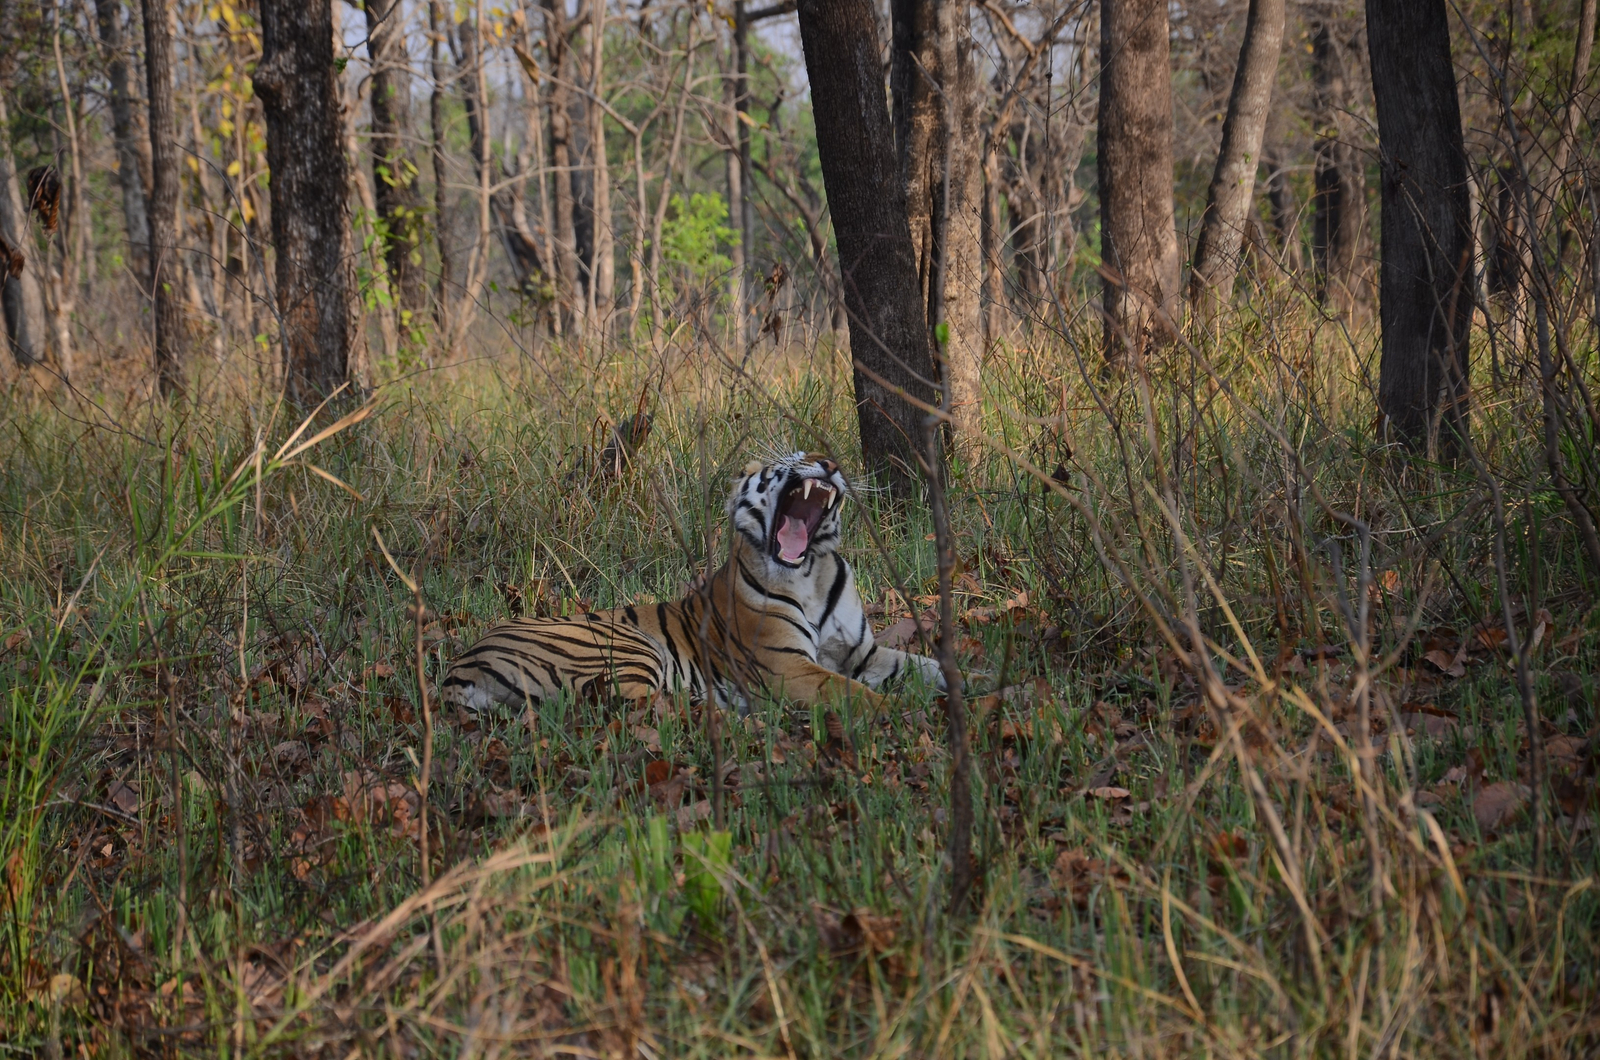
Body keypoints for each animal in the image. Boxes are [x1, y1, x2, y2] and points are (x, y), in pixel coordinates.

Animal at [441, 452, 944, 715]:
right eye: (792, 459)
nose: (828, 461)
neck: (811, 573)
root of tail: (459, 664)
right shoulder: (788, 667)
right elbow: (853, 693)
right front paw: (904, 714)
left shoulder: (864, 653)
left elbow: (930, 667)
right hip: (627, 644)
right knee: (646, 704)